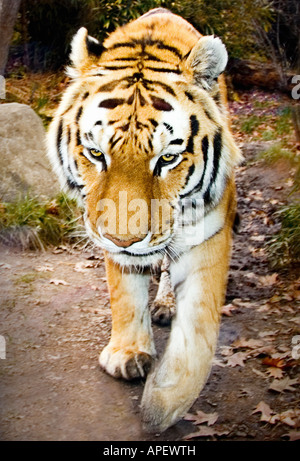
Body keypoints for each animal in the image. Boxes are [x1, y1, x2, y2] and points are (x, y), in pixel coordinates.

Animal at [48, 7, 243, 432]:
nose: (124, 240)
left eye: (167, 158)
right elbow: (124, 294)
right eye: (96, 153)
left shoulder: (210, 231)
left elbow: (199, 322)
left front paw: (164, 400)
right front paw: (128, 353)